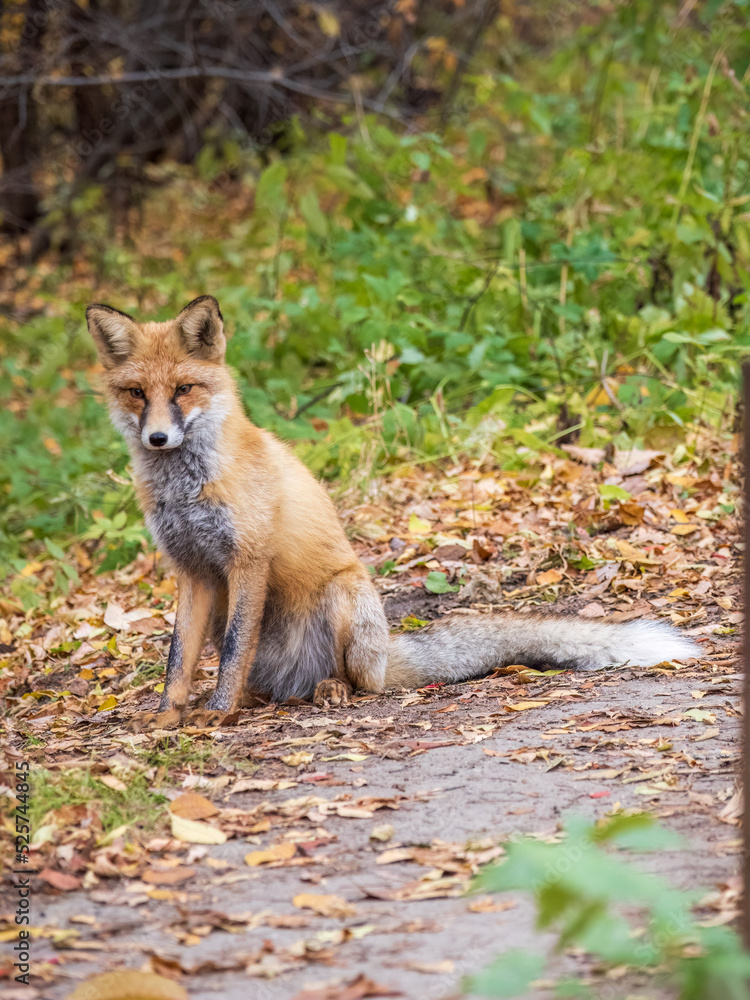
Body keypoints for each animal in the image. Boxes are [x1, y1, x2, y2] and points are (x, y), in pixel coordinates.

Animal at [86, 295, 700, 728]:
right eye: (138, 393)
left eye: (184, 389)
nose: (158, 438)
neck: (186, 487)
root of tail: (385, 657)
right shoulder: (193, 572)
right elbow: (177, 660)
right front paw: (169, 716)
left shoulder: (247, 561)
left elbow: (235, 651)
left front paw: (218, 714)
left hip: (344, 596)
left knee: (359, 684)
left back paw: (329, 690)